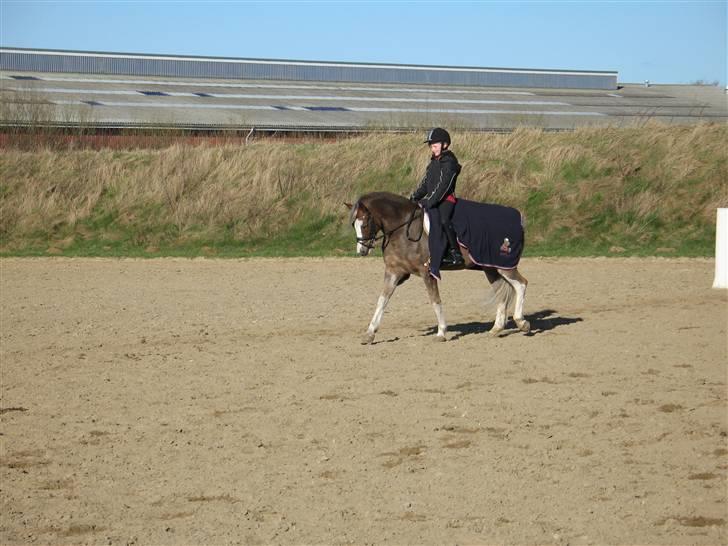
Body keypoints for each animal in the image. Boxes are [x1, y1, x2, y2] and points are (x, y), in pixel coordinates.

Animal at [346, 191, 528, 344]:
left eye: (365, 223)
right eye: (354, 225)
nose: (361, 250)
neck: (403, 229)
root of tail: (519, 219)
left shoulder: (427, 272)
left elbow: (435, 300)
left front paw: (441, 333)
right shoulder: (393, 272)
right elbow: (382, 301)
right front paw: (369, 333)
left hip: (505, 266)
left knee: (521, 284)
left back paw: (521, 322)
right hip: (490, 268)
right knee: (501, 293)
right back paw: (496, 328)